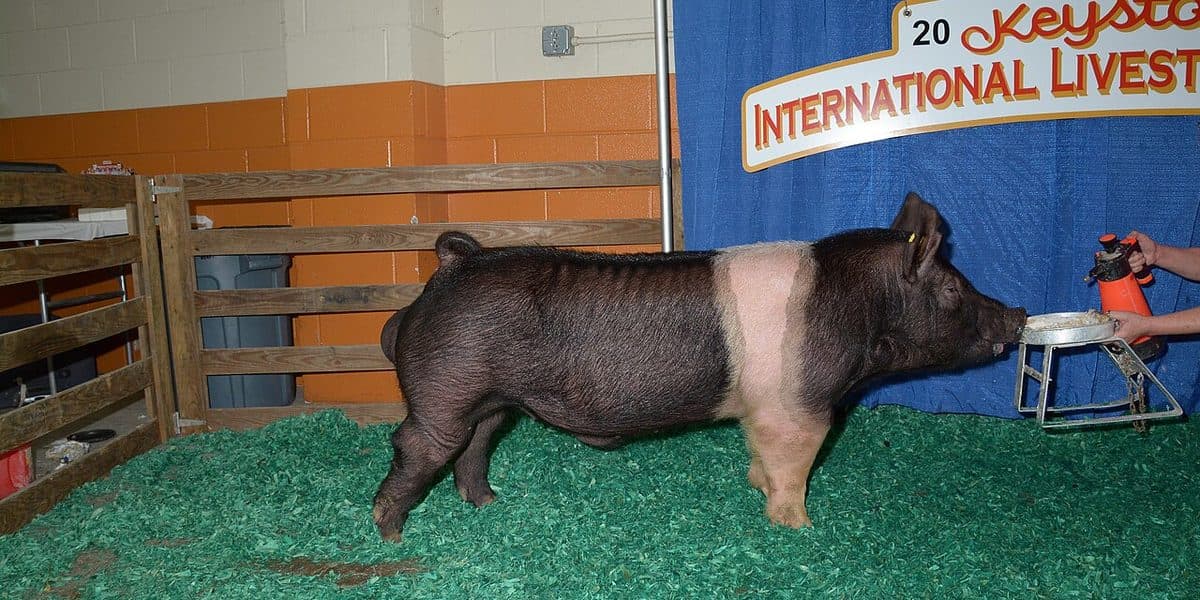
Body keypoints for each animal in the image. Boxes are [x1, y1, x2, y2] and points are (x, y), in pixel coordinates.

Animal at [372, 192, 1025, 542]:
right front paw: (799, 529)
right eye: (951, 288)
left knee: (477, 445)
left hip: (491, 401)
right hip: (444, 390)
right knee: (417, 445)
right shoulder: (801, 407)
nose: (1018, 314)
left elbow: (761, 455)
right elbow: (795, 468)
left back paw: (490, 504)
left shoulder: (764, 410)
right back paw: (391, 532)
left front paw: (757, 488)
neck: (865, 312)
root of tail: (455, 264)